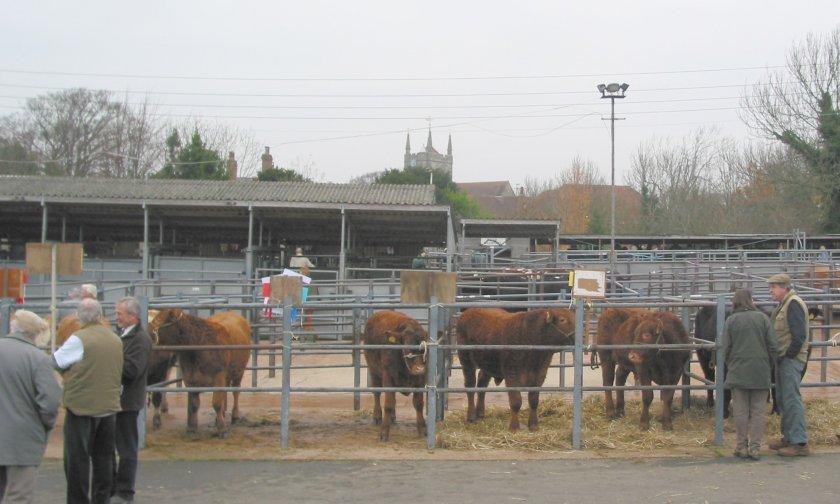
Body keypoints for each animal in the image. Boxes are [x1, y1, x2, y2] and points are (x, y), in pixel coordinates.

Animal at [360, 312, 426, 440]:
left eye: (424, 349)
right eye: (406, 348)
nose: (420, 369)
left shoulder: (421, 381)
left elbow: (419, 404)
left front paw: (422, 429)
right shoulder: (388, 377)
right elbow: (388, 404)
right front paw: (384, 432)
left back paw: (392, 417)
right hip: (374, 371)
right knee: (377, 393)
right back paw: (377, 416)